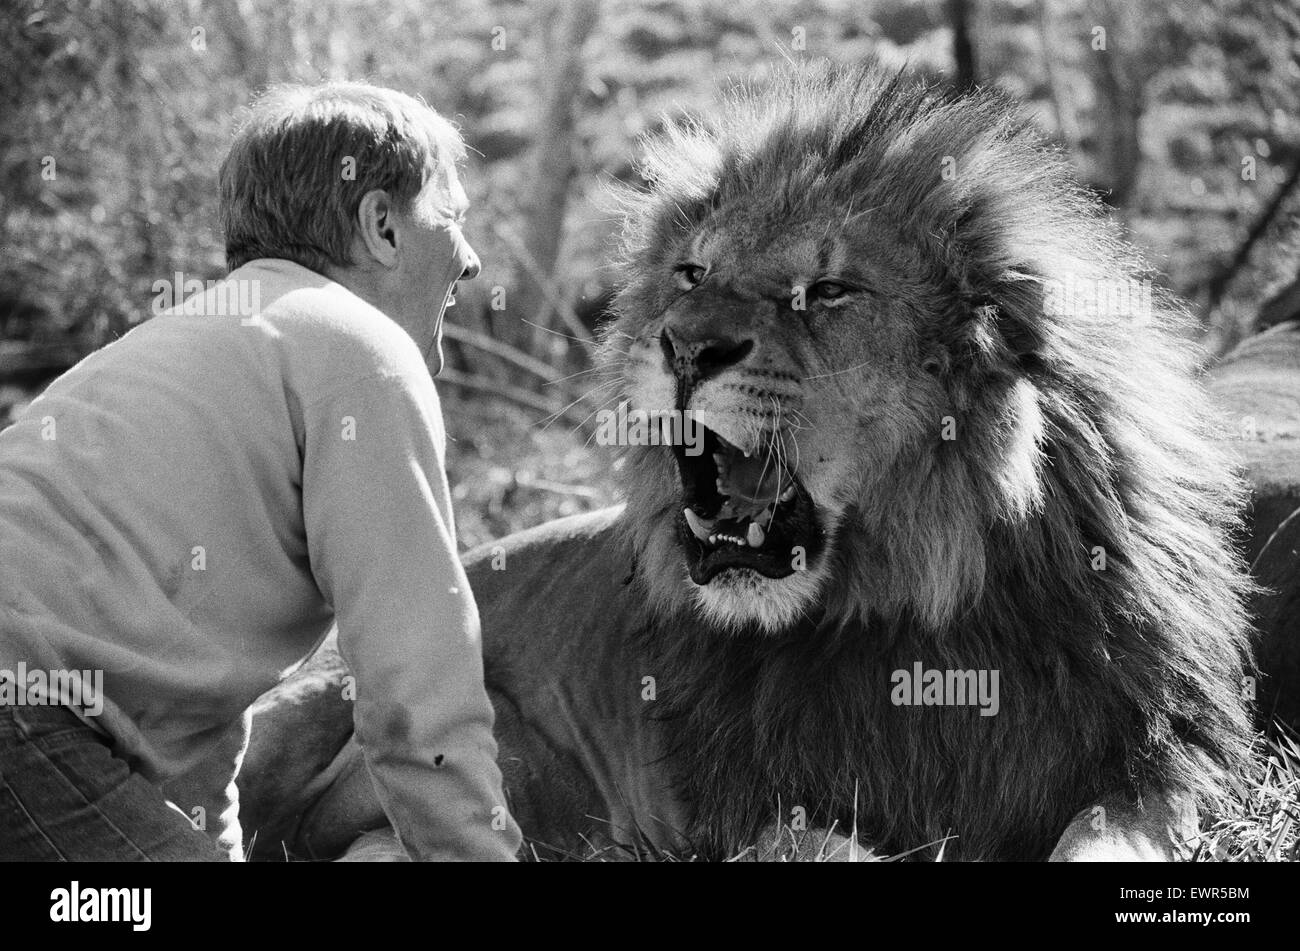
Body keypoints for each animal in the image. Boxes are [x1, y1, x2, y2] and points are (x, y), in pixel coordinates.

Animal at [236, 61, 1258, 862]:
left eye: (830, 291)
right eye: (691, 273)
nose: (685, 346)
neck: (919, 609)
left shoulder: (1156, 758)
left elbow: (1101, 836)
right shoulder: (745, 801)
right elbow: (829, 845)